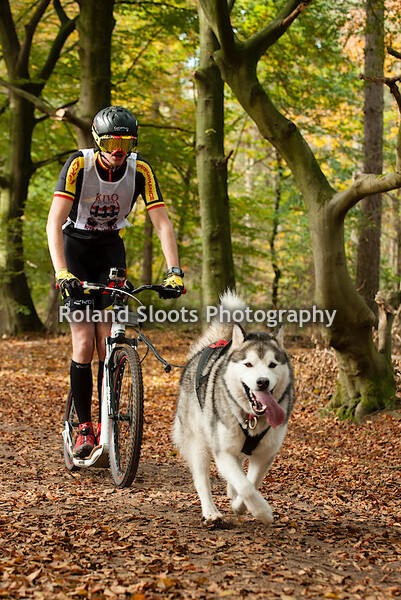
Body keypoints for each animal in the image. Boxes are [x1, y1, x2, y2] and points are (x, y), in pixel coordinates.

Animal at [173, 290, 294, 525]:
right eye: (248, 364)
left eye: (272, 365)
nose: (262, 382)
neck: (252, 417)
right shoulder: (223, 452)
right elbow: (246, 486)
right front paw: (262, 511)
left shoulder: (265, 453)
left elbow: (251, 482)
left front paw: (241, 505)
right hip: (199, 443)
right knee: (202, 479)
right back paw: (211, 512)